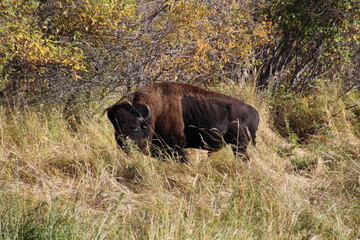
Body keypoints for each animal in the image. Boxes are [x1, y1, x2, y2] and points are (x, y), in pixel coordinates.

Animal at [107, 81, 258, 162]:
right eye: (116, 127)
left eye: (135, 127)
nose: (124, 145)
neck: (157, 111)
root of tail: (254, 111)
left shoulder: (177, 147)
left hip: (239, 145)